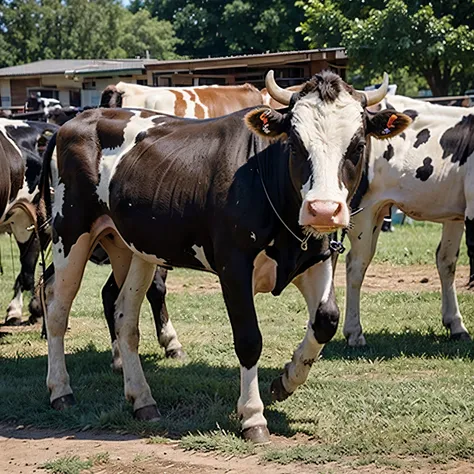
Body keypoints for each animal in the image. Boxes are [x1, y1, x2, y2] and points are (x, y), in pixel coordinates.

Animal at [40, 72, 408, 442]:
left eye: (357, 146)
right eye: (294, 144)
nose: (323, 209)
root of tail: (76, 121)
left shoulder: (316, 259)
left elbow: (326, 320)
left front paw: (287, 379)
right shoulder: (234, 268)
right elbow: (249, 339)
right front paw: (253, 416)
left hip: (131, 249)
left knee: (124, 317)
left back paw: (142, 399)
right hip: (71, 234)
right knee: (56, 307)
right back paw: (60, 390)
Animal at [344, 94, 474, 346]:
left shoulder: (457, 213)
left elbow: (447, 260)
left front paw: (455, 325)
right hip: (363, 210)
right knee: (356, 264)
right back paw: (354, 333)